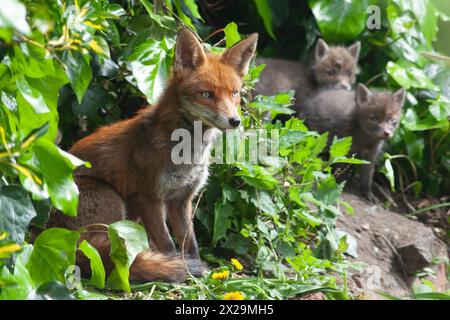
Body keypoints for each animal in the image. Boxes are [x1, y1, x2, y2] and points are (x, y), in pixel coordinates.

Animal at [47, 28, 258, 282]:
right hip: (113, 203)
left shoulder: (181, 199)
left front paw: (194, 271)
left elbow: (190, 243)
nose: (235, 121)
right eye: (206, 94)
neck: (188, 153)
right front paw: (181, 272)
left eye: (234, 93)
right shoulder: (149, 197)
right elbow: (168, 245)